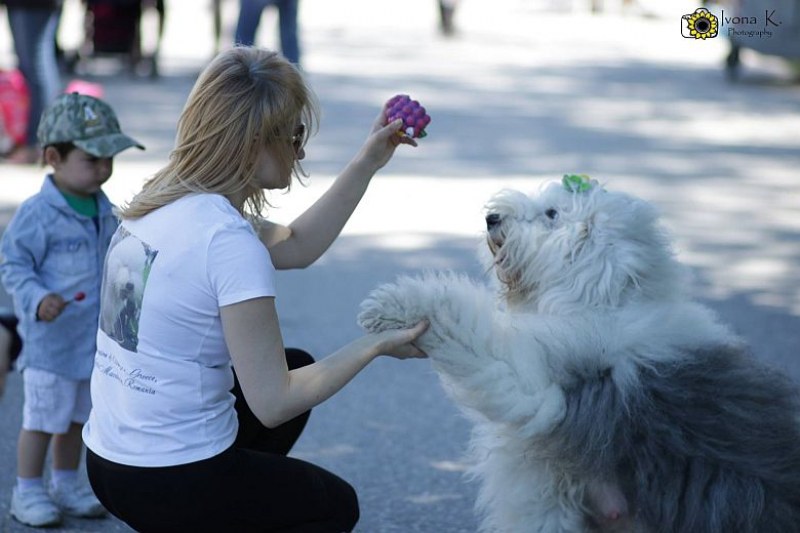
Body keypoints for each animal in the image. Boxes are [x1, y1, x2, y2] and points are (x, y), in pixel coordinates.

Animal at [360, 178, 800, 532]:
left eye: (552, 214)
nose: (492, 218)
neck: (605, 301)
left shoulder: (538, 376)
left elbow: (469, 324)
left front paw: (396, 304)